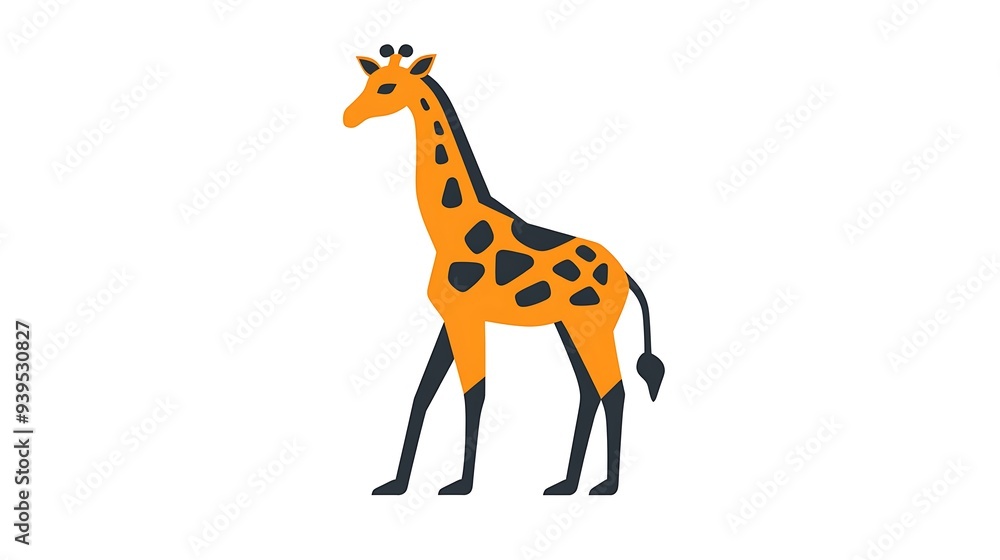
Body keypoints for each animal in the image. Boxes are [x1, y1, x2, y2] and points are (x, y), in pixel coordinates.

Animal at [344, 44, 665, 495]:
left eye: (386, 87)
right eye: (369, 82)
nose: (348, 116)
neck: (452, 229)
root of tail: (628, 278)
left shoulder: (467, 318)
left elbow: (473, 393)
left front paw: (461, 485)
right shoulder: (450, 318)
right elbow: (422, 392)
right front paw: (396, 483)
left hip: (594, 326)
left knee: (613, 390)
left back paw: (606, 486)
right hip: (571, 326)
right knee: (589, 390)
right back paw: (566, 483)